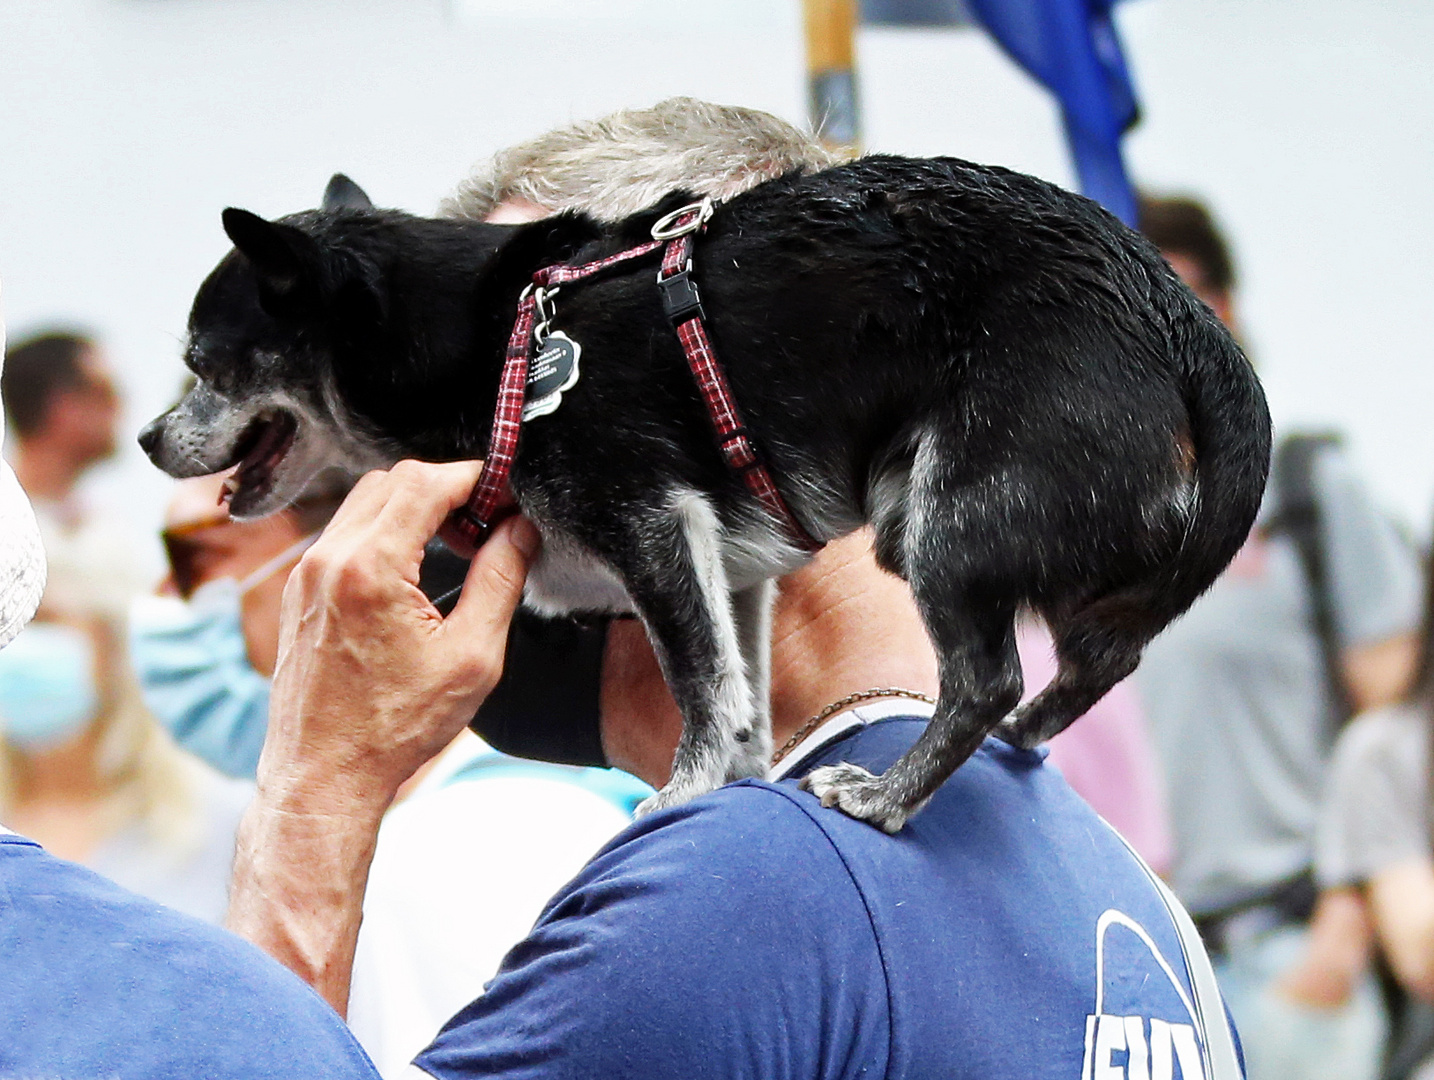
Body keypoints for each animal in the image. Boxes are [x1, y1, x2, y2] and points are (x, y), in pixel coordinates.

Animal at [139, 159, 1273, 831]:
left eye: (202, 364)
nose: (149, 439)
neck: (499, 340)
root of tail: (1189, 326)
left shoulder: (648, 523)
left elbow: (700, 687)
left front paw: (681, 793)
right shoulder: (730, 570)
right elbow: (743, 694)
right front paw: (740, 775)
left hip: (945, 523)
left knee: (986, 675)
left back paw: (889, 797)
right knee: (1097, 661)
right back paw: (1022, 740)